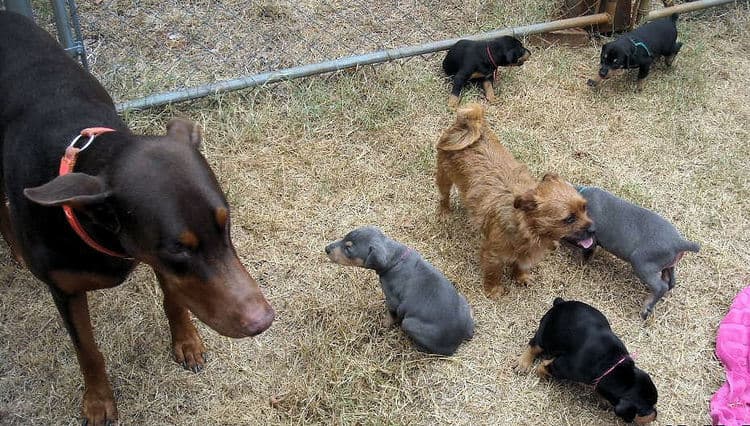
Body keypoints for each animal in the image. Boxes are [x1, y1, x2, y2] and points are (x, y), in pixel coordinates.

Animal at [324, 226, 476, 356]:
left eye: (348, 248)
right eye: (344, 238)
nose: (326, 248)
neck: (395, 260)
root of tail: (458, 340)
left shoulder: (393, 301)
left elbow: (390, 316)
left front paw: (384, 326)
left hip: (409, 323)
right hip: (463, 301)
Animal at [572, 187, 704, 320]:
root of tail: (679, 242)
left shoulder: (589, 241)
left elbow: (585, 252)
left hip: (641, 264)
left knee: (661, 287)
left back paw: (646, 309)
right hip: (668, 265)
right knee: (670, 282)